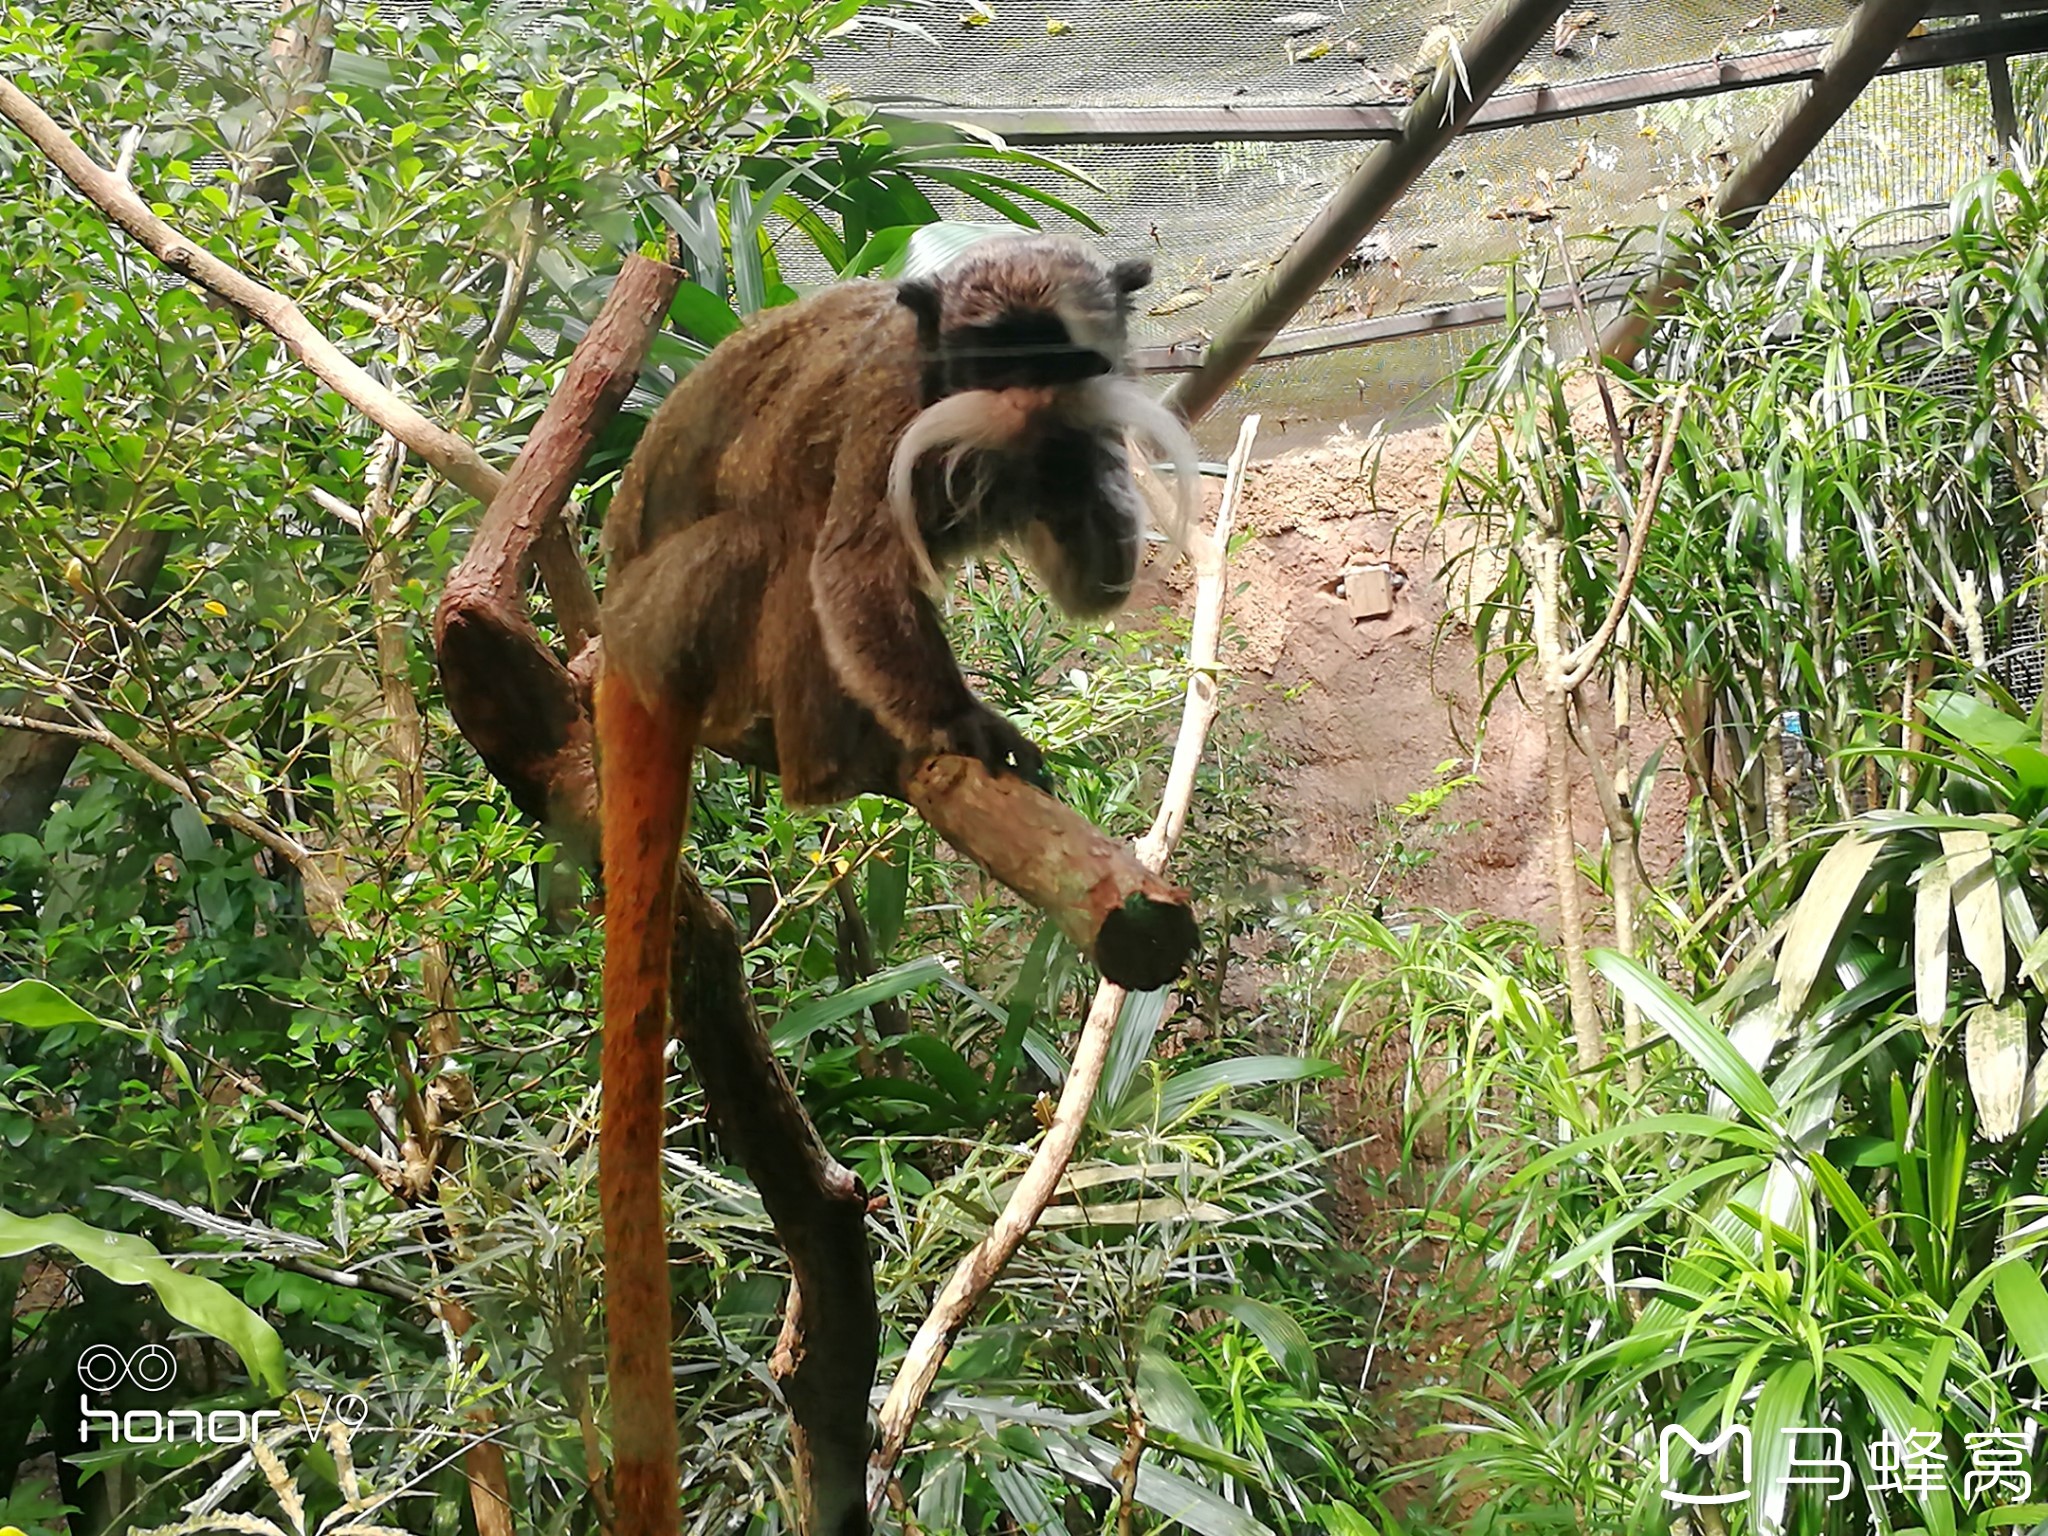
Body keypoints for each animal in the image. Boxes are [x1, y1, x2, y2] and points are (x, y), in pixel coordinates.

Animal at [589, 231, 1196, 1536]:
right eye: (988, 356)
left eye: (1054, 357)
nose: (1020, 406)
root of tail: (613, 621)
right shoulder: (888, 404)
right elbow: (850, 558)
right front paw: (962, 725)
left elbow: (1089, 561)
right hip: (686, 624)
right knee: (778, 538)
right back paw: (836, 760)